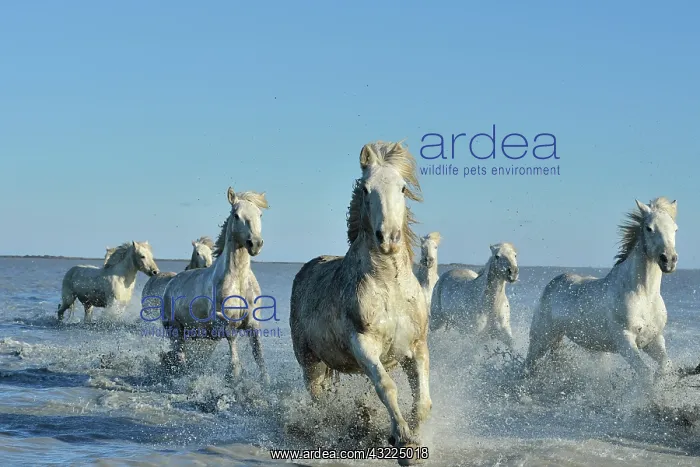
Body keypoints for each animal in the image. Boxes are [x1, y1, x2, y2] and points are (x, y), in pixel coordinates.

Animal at [160, 187, 270, 385]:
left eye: (260, 214)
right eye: (236, 215)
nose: (255, 244)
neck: (238, 281)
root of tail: (171, 283)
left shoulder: (253, 324)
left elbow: (259, 355)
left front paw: (266, 381)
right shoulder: (224, 322)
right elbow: (232, 342)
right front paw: (233, 374)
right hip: (175, 329)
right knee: (178, 356)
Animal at [290, 141, 431, 465]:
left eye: (402, 188)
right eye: (366, 189)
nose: (388, 238)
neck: (390, 287)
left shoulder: (416, 348)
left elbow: (423, 402)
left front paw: (414, 441)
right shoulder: (364, 346)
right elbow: (387, 388)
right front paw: (401, 440)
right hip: (310, 363)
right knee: (318, 400)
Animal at [523, 197, 679, 385]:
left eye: (675, 228)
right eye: (649, 228)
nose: (668, 260)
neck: (644, 296)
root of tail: (552, 284)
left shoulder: (653, 339)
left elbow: (666, 366)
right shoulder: (625, 340)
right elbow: (645, 373)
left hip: (561, 340)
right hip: (541, 339)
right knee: (528, 366)